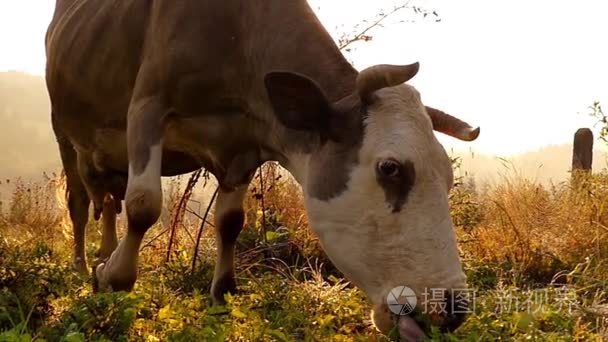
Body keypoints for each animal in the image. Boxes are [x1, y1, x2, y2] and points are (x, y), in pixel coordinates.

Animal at [45, 0, 480, 340]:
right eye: (390, 168)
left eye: (448, 178)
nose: (452, 310)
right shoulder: (148, 105)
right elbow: (144, 205)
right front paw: (112, 278)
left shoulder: (244, 146)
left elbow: (230, 222)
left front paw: (222, 294)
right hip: (65, 133)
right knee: (82, 203)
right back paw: (83, 264)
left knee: (109, 201)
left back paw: (103, 251)